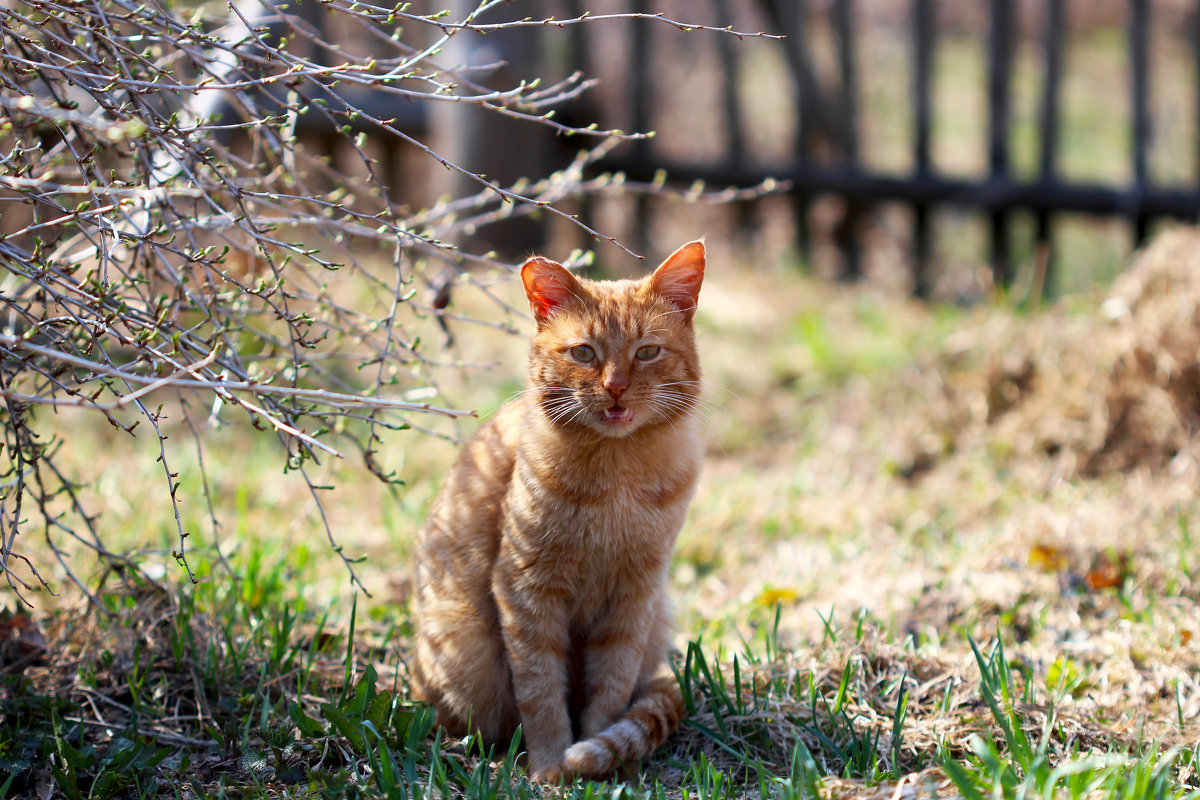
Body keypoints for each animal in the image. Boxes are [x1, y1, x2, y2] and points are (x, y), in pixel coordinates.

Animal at [410, 242, 700, 782]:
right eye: (584, 352)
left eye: (646, 351)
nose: (615, 387)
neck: (616, 481)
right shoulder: (527, 590)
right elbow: (541, 691)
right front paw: (549, 768)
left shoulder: (635, 597)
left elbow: (611, 687)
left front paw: (597, 762)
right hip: (461, 649)